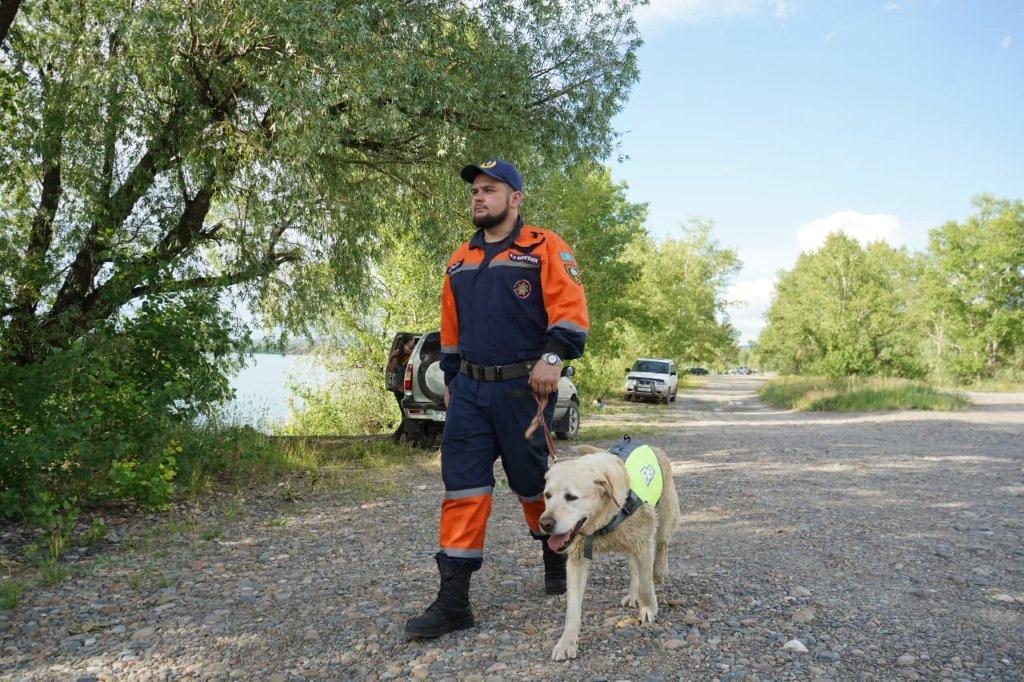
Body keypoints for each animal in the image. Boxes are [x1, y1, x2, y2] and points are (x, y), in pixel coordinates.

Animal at [536, 440, 679, 659]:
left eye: (571, 497)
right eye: (547, 495)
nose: (545, 524)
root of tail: (649, 445)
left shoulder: (644, 543)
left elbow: (647, 584)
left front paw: (648, 607)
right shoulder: (577, 559)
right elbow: (573, 608)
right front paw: (566, 642)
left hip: (665, 513)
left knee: (663, 543)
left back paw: (660, 570)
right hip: (629, 544)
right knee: (634, 569)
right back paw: (632, 594)